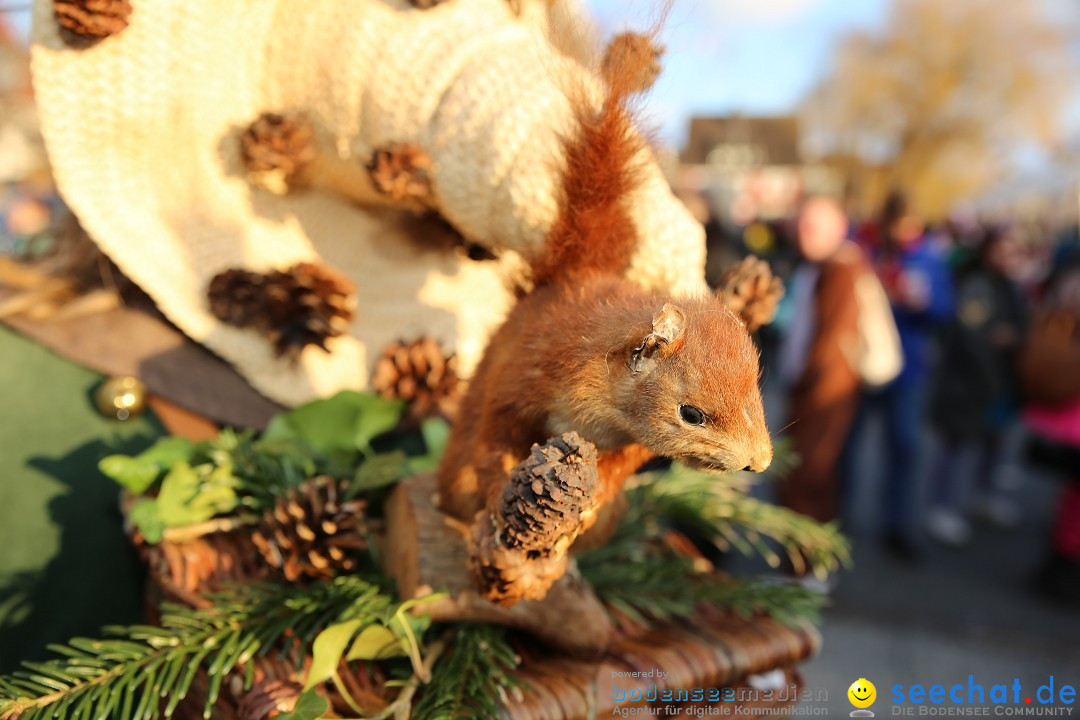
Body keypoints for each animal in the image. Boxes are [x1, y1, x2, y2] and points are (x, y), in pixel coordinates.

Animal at [434, 35, 781, 608]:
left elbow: (614, 476)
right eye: (691, 412)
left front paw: (583, 512)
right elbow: (495, 440)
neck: (598, 418)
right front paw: (502, 487)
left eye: (756, 389)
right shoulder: (523, 374)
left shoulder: (628, 447)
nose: (760, 461)